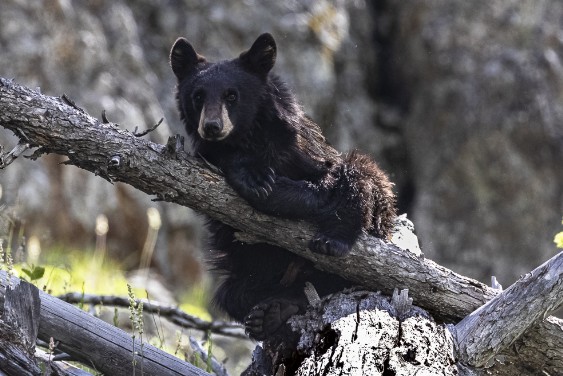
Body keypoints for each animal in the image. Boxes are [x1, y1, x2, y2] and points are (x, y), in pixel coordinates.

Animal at [170, 33, 394, 340]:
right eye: (198, 96)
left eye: (232, 95)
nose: (212, 127)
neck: (250, 137)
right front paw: (253, 178)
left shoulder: (303, 148)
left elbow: (329, 180)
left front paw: (273, 190)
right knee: (233, 295)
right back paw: (269, 315)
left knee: (360, 171)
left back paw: (330, 243)